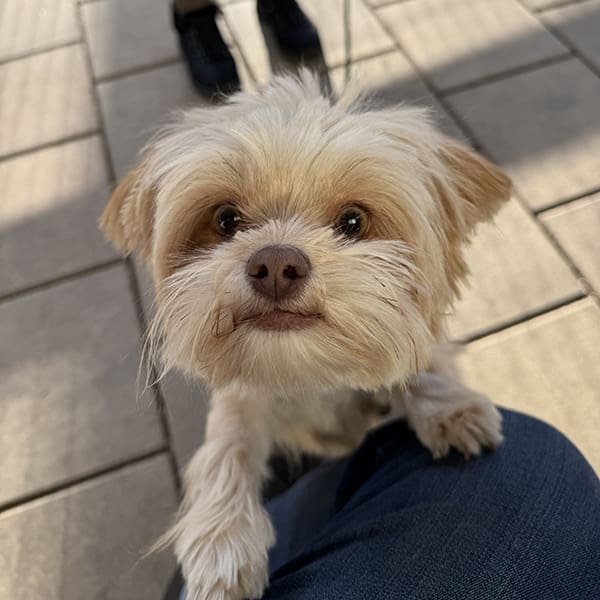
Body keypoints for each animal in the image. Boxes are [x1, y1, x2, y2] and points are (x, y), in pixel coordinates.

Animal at [99, 71, 510, 600]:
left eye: (353, 221)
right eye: (225, 219)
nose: (275, 264)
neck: (306, 370)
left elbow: (418, 364)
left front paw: (450, 410)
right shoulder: (240, 396)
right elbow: (227, 446)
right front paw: (222, 537)